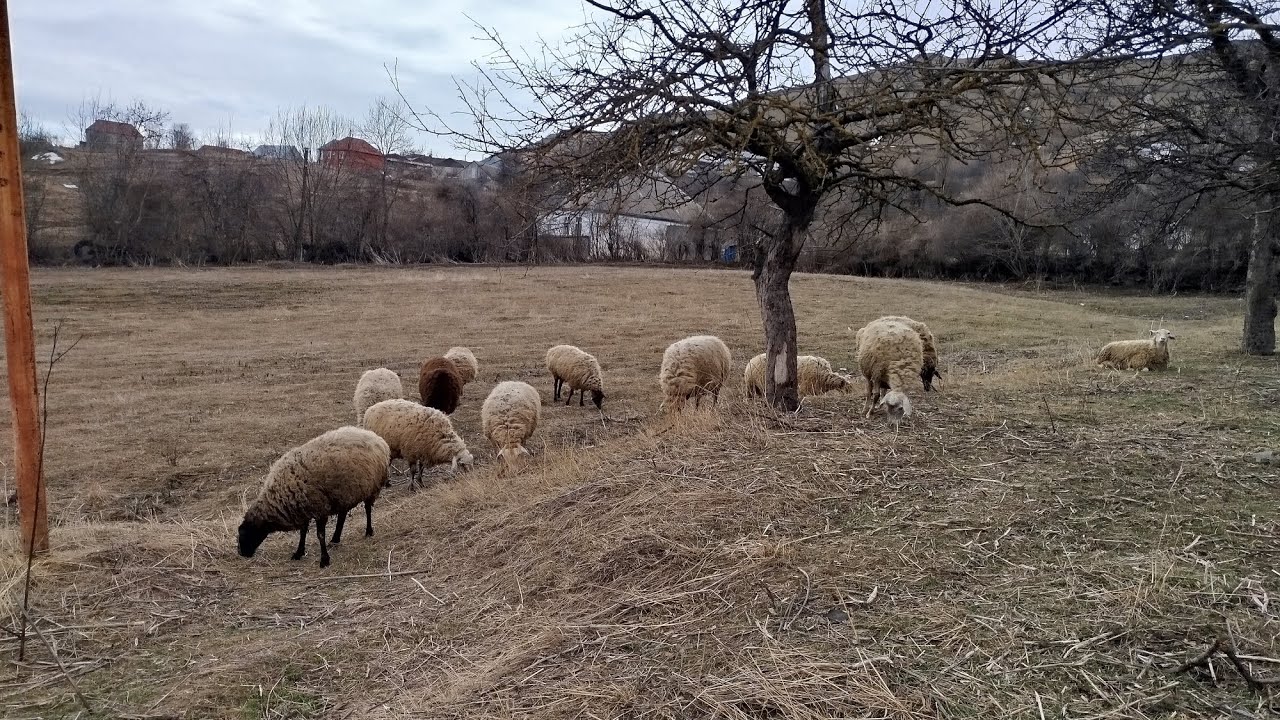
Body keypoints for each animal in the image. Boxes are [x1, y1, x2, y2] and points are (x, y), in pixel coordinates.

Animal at [237, 426, 390, 568]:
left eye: (245, 533)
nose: (241, 553)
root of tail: (376, 437)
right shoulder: (303, 508)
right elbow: (303, 532)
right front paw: (299, 552)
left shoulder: (319, 509)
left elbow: (320, 535)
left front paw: (324, 560)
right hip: (344, 493)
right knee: (342, 515)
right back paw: (335, 538)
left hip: (371, 487)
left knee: (368, 509)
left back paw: (368, 531)